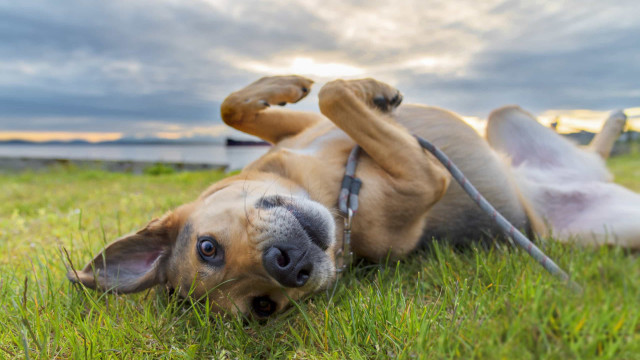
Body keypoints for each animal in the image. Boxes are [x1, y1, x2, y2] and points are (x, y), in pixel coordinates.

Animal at [66, 75, 640, 318]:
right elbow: (336, 96)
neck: (328, 188)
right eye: (264, 308)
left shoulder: (302, 130)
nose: (287, 265)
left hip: (504, 118)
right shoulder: (425, 177)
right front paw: (367, 90)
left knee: (589, 150)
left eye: (208, 247)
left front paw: (300, 82)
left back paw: (614, 121)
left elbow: (246, 106)